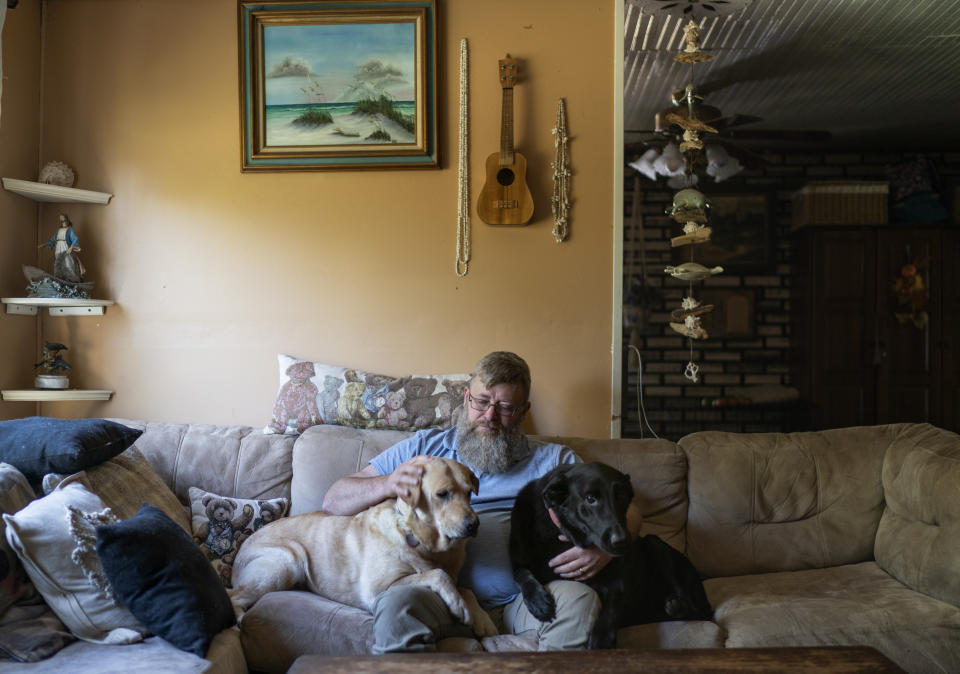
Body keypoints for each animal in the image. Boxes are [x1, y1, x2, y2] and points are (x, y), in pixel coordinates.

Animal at [231, 456, 496, 636]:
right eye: (442, 494)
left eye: (469, 492)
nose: (474, 525)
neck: (419, 539)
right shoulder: (377, 589)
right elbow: (439, 574)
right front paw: (459, 605)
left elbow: (466, 588)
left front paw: (483, 619)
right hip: (286, 563)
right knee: (234, 595)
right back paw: (239, 620)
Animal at [510, 462, 712, 644]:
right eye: (590, 498)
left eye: (621, 496)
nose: (622, 541)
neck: (566, 537)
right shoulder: (519, 564)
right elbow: (521, 573)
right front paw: (538, 601)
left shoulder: (619, 585)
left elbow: (608, 619)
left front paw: (600, 642)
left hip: (655, 544)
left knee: (697, 610)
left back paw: (676, 606)